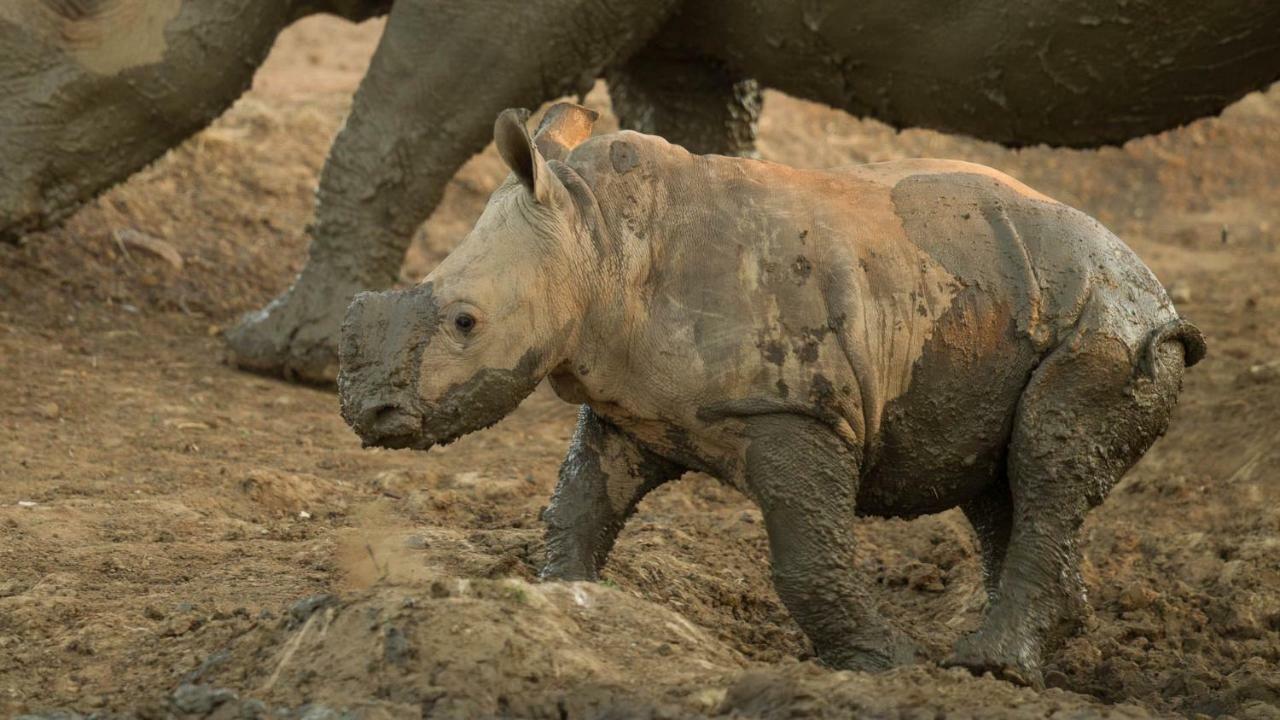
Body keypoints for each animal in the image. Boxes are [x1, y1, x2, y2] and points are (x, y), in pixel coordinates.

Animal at [337, 102, 1198, 681]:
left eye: (465, 322)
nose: (368, 413)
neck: (595, 238)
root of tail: (1149, 279)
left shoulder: (797, 407)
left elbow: (805, 556)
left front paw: (884, 665)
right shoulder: (627, 407)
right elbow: (579, 505)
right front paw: (566, 607)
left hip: (1106, 319)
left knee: (1048, 456)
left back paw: (986, 667)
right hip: (1006, 304)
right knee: (1000, 482)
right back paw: (1027, 652)